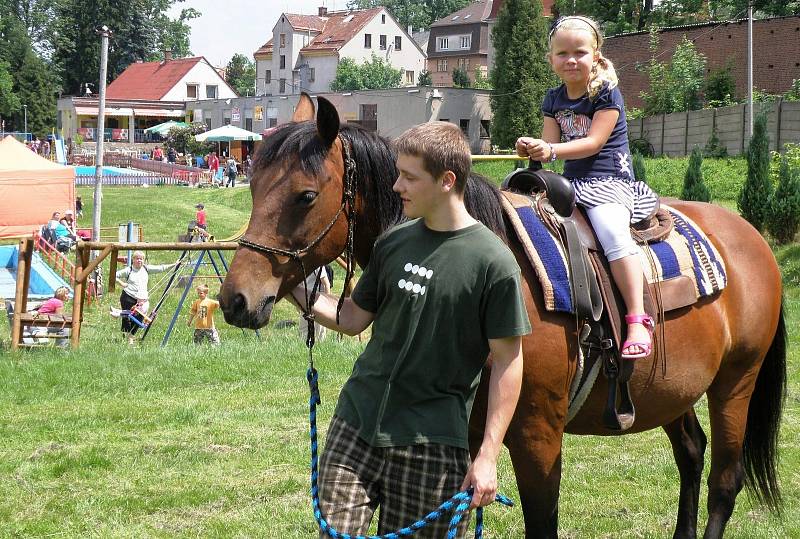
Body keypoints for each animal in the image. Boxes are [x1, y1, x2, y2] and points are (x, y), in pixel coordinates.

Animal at [220, 95, 788, 536]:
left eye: (305, 195)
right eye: (252, 187)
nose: (235, 300)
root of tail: (749, 236)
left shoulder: (539, 437)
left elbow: (542, 522)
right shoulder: (464, 439)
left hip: (735, 383)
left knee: (724, 481)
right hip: (671, 391)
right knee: (691, 454)